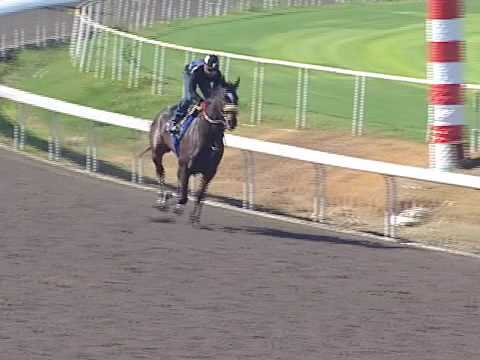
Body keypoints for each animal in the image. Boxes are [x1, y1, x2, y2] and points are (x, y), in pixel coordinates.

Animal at [147, 78, 239, 222]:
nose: (232, 121)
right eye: (224, 98)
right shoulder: (185, 166)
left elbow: (199, 195)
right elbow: (183, 197)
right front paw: (175, 203)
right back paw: (162, 199)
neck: (209, 137)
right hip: (157, 152)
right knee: (160, 172)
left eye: (236, 98)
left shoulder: (209, 172)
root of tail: (161, 114)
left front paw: (194, 217)